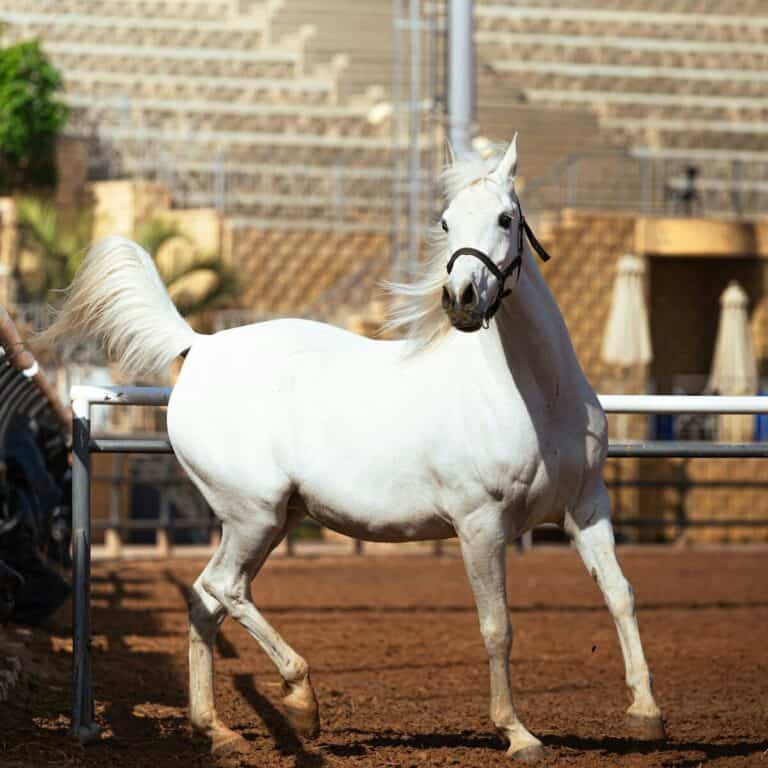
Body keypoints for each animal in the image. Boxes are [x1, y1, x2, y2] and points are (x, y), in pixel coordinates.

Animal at [41, 135, 664, 760]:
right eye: (446, 221)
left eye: (505, 219)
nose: (461, 299)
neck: (533, 397)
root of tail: (199, 347)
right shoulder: (480, 524)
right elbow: (497, 628)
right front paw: (518, 734)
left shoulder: (587, 509)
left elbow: (622, 595)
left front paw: (646, 713)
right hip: (253, 515)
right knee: (222, 587)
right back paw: (301, 700)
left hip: (272, 521)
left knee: (204, 599)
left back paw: (217, 730)